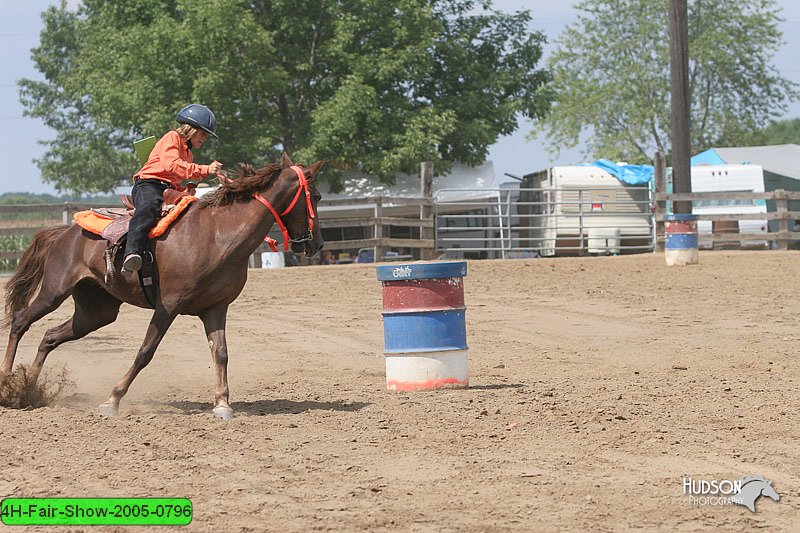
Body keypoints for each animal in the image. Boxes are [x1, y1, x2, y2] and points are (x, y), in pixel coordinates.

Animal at [1, 152, 324, 418]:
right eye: (318, 196)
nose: (317, 245)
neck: (218, 235)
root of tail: (64, 232)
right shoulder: (168, 305)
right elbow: (146, 352)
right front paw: (112, 400)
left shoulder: (215, 309)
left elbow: (220, 353)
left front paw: (222, 403)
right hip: (54, 292)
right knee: (20, 321)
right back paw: (7, 381)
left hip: (96, 311)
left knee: (49, 336)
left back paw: (29, 388)